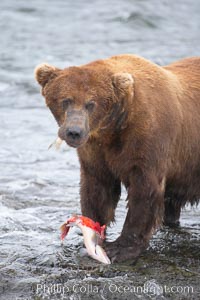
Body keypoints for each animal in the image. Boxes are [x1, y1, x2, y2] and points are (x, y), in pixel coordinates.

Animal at [35, 54, 199, 262]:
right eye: (66, 100)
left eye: (91, 103)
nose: (74, 132)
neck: (114, 128)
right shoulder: (96, 151)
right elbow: (97, 189)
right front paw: (93, 233)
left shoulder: (149, 142)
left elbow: (145, 192)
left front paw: (121, 248)